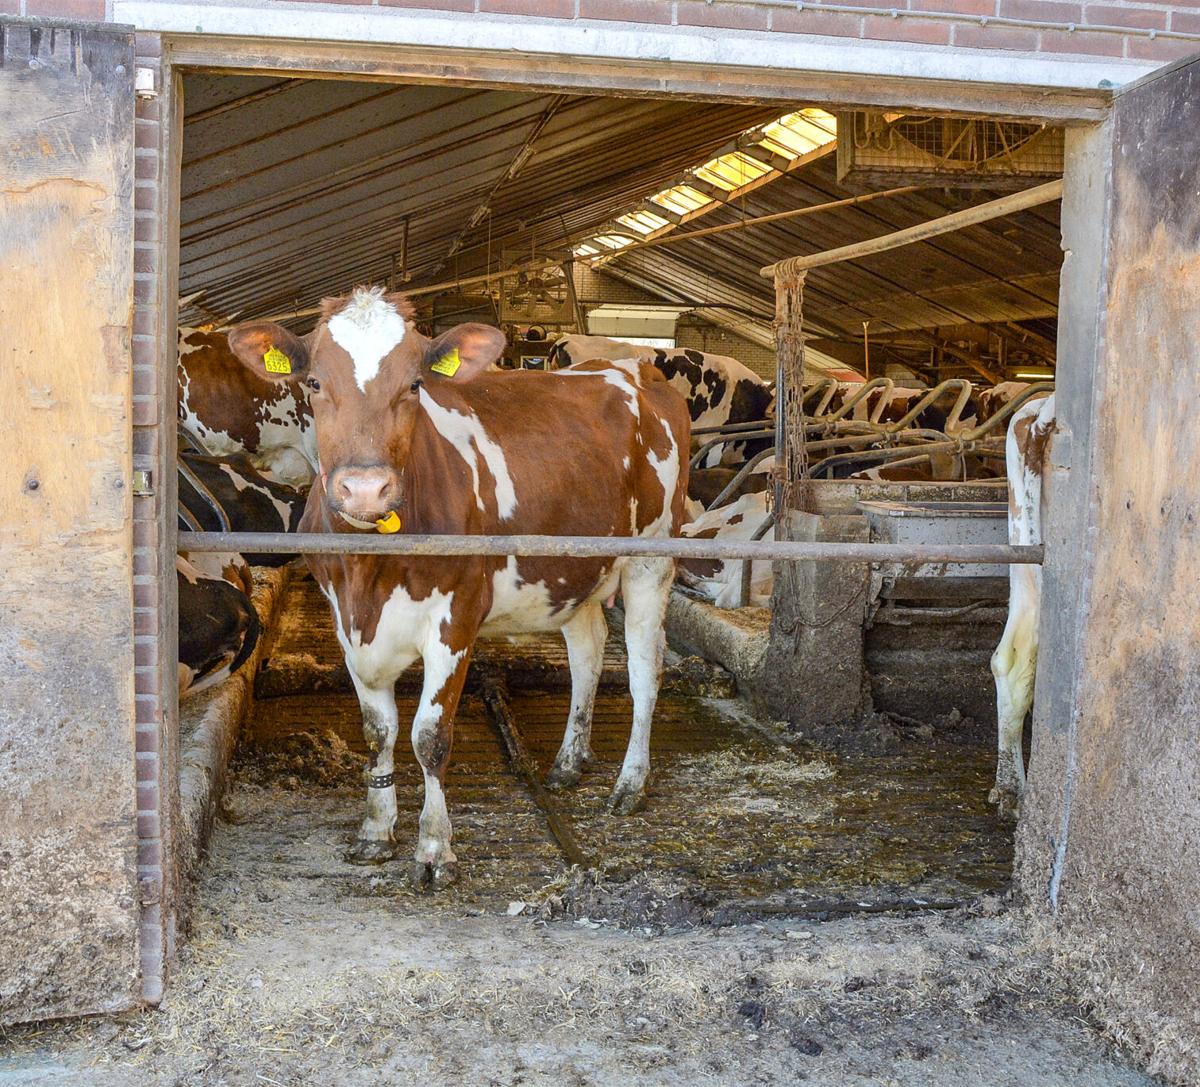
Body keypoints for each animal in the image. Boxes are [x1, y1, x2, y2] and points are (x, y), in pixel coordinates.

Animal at [225, 287, 690, 886]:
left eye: (414, 385)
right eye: (314, 383)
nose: (366, 489)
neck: (367, 572)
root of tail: (637, 366)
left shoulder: (456, 617)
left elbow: (429, 736)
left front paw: (434, 848)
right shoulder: (346, 622)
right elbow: (377, 731)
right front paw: (375, 831)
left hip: (651, 558)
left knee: (643, 671)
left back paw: (630, 785)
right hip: (573, 567)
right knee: (587, 655)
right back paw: (568, 764)